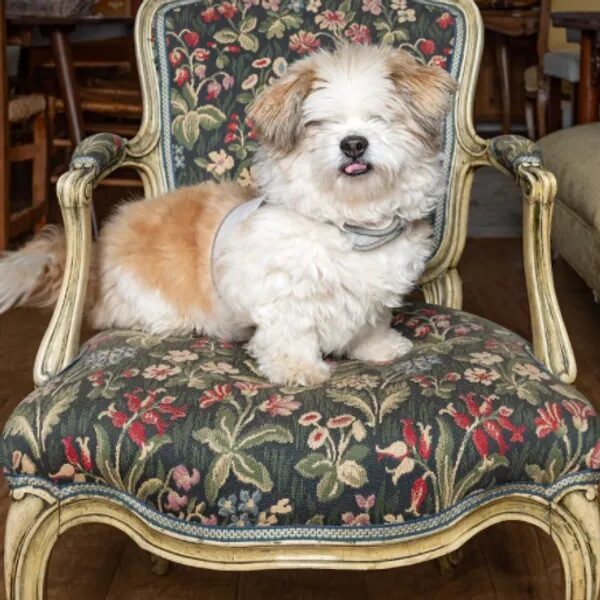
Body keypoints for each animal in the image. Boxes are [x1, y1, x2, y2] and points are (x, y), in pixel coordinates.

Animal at [0, 44, 454, 386]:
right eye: (320, 125)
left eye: (382, 119)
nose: (354, 143)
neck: (351, 228)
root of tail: (94, 257)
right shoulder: (282, 299)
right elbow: (291, 335)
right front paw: (299, 369)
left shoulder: (373, 296)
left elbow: (370, 322)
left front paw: (379, 347)